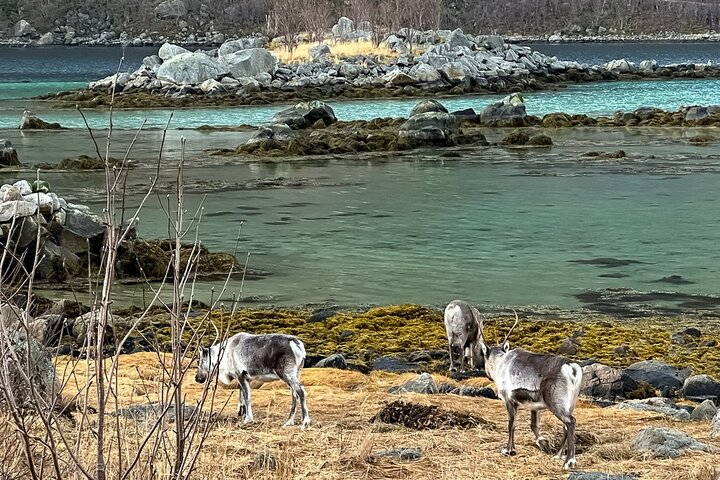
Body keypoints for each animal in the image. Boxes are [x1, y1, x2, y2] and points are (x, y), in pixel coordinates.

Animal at [479, 311, 583, 470]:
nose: (488, 376)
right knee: (566, 425)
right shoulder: (534, 406)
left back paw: (569, 461)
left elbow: (511, 424)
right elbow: (533, 425)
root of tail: (572, 368)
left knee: (571, 422)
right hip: (571, 402)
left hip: (555, 401)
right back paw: (557, 455)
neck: (500, 363)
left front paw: (509, 450)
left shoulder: (509, 399)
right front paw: (543, 443)